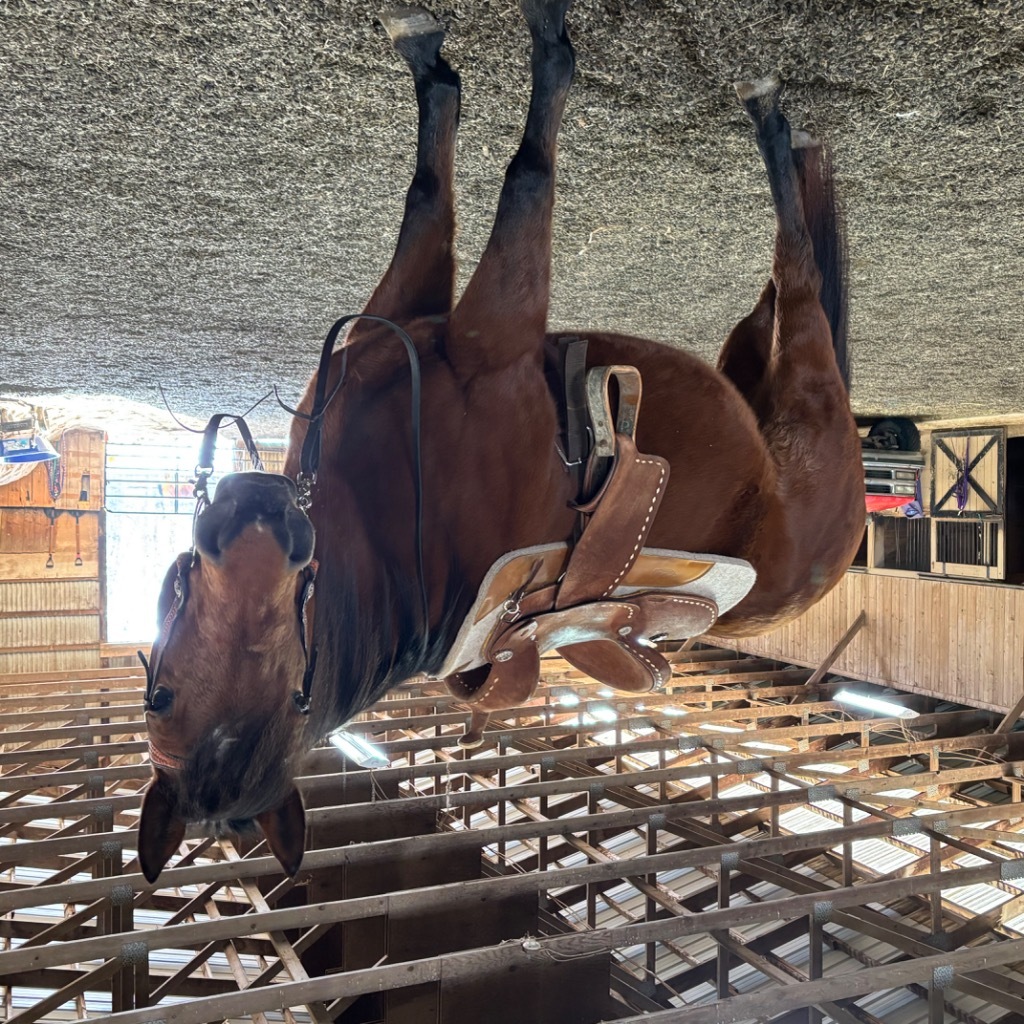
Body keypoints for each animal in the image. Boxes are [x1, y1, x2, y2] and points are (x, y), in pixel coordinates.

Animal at [137, 0, 864, 882]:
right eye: (164, 697)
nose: (257, 525)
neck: (393, 539)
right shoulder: (489, 328)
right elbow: (514, 173)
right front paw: (523, 48)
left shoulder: (430, 312)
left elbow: (448, 188)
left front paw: (439, 61)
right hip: (804, 409)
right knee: (801, 289)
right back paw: (779, 130)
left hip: (763, 377)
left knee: (787, 291)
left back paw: (788, 144)